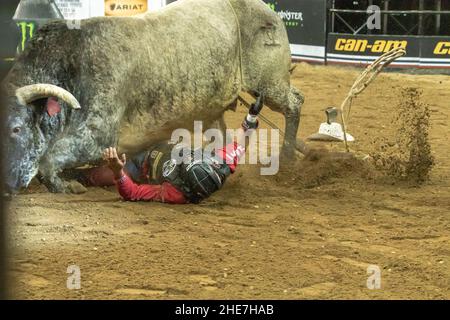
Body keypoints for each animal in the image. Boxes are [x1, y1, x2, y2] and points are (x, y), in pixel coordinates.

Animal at [1, 0, 304, 192]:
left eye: (16, 128)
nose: (8, 183)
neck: (71, 65)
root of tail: (266, 10)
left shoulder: (98, 135)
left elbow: (50, 158)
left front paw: (67, 185)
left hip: (269, 82)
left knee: (295, 102)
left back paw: (289, 156)